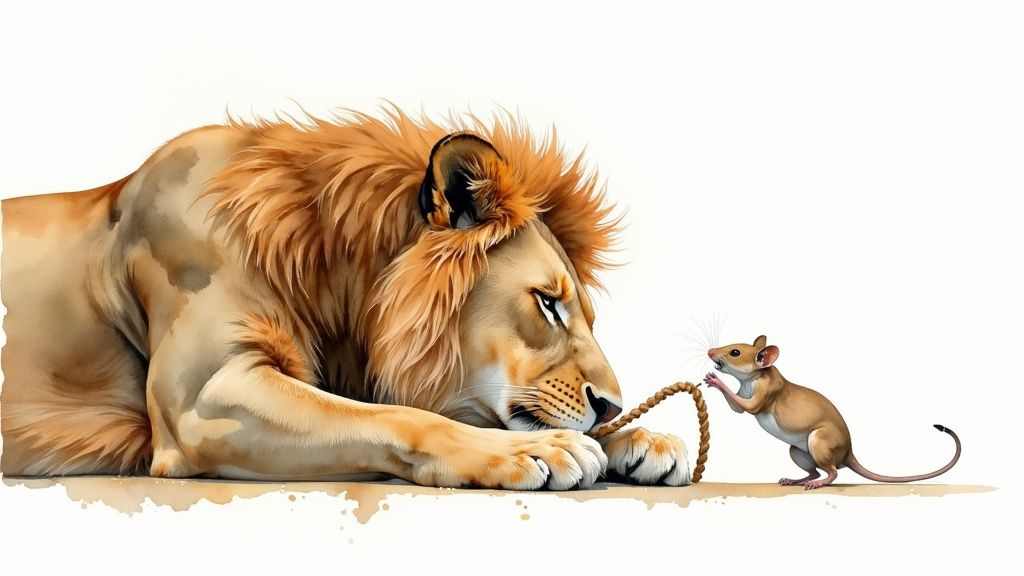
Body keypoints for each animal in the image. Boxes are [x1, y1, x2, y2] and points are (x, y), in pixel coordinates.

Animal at [0, 107, 691, 489]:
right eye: (547, 303)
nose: (611, 405)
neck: (339, 282)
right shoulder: (203, 397)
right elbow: (397, 416)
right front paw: (534, 451)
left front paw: (643, 441)